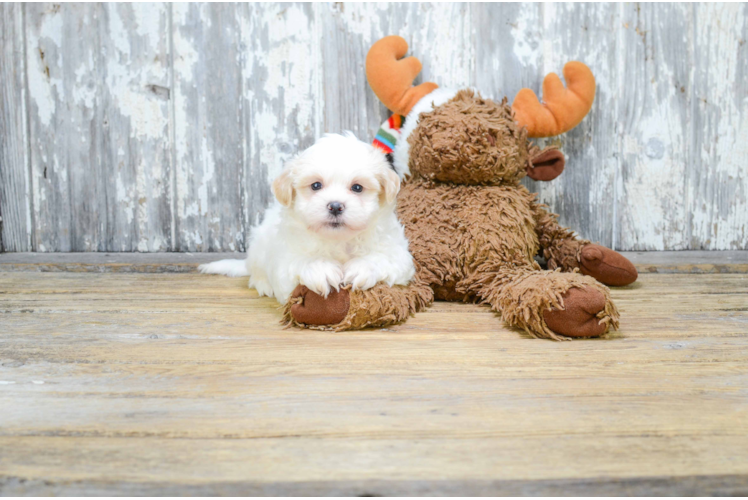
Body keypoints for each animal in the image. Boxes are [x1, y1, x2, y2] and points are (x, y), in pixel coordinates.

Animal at [197, 133, 414, 302]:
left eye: (357, 188)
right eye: (316, 185)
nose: (335, 206)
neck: (339, 241)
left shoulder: (398, 254)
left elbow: (383, 258)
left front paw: (362, 268)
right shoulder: (284, 259)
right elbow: (301, 262)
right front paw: (321, 270)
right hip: (258, 246)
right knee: (256, 273)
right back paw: (263, 285)